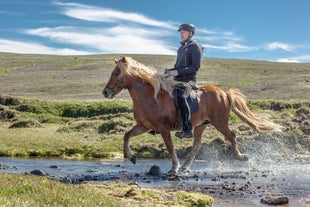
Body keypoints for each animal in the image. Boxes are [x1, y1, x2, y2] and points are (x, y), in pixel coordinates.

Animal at [102, 55, 280, 174]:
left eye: (117, 73)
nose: (105, 92)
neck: (151, 96)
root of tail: (224, 93)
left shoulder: (162, 128)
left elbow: (170, 147)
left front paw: (174, 167)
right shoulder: (144, 126)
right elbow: (126, 135)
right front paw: (131, 156)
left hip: (220, 122)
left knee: (232, 136)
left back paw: (240, 157)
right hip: (201, 124)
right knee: (197, 144)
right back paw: (186, 166)